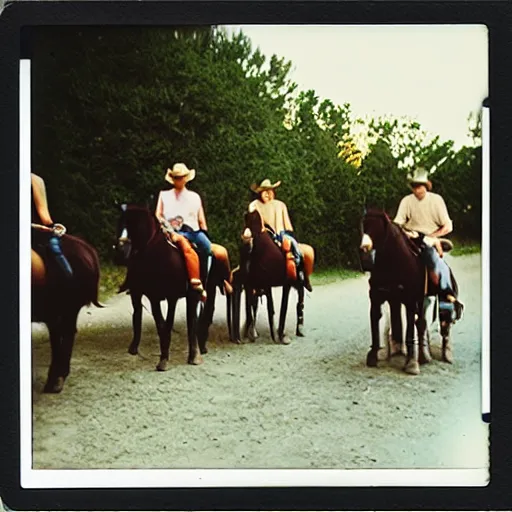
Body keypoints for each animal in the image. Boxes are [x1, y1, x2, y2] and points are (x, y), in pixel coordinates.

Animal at [115, 204, 231, 368]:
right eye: (120, 223)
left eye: (136, 224)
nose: (120, 251)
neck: (160, 257)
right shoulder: (154, 297)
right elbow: (160, 325)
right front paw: (163, 357)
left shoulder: (172, 297)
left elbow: (168, 325)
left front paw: (164, 360)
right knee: (193, 318)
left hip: (209, 289)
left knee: (202, 316)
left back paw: (197, 352)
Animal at [231, 207, 304, 344]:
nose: (245, 239)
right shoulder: (257, 283)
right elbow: (258, 307)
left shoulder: (274, 283)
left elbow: (277, 308)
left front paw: (279, 336)